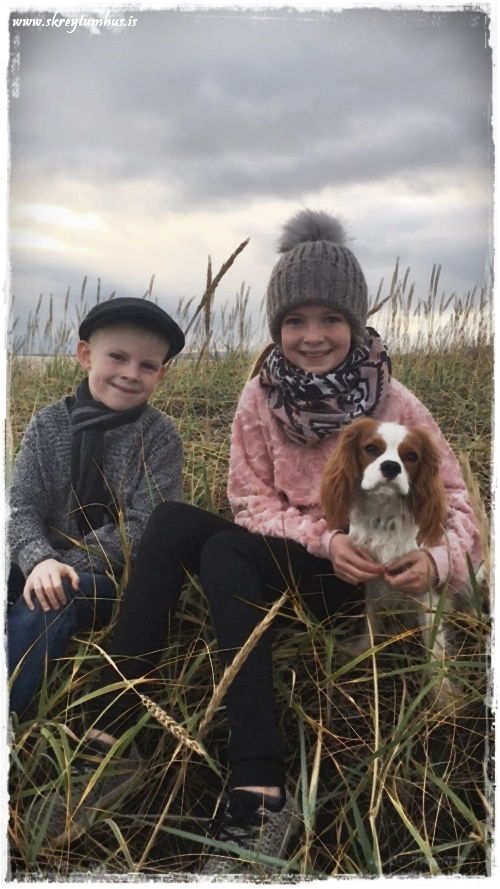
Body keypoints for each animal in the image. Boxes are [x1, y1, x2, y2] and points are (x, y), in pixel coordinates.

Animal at [320, 417, 464, 707]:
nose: (390, 466)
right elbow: (371, 622)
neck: (384, 516)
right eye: (371, 449)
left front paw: (442, 696)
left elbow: (435, 648)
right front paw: (362, 650)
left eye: (411, 457)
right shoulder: (372, 580)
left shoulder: (426, 594)